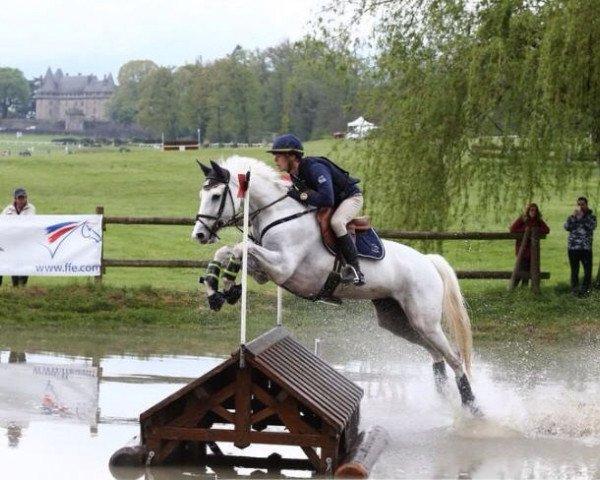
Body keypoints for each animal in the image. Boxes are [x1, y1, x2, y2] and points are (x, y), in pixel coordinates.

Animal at [193, 156, 482, 414]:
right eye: (201, 194)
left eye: (216, 196)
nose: (198, 235)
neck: (278, 214)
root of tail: (428, 262)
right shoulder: (268, 271)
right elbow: (227, 251)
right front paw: (218, 291)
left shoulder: (283, 267)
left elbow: (241, 248)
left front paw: (228, 284)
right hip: (399, 321)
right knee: (436, 355)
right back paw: (443, 398)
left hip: (425, 319)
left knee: (455, 358)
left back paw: (472, 408)